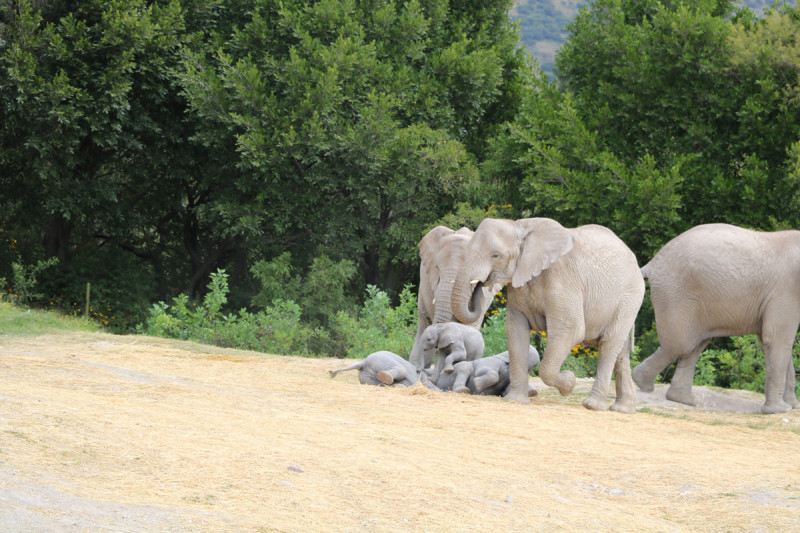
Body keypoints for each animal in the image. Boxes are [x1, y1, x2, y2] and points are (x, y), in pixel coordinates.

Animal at [450, 217, 644, 412]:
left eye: (495, 255)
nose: (481, 283)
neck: (520, 226)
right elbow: (515, 332)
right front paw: (515, 400)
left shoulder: (563, 278)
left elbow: (571, 329)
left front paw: (569, 382)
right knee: (620, 352)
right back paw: (622, 409)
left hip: (629, 298)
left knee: (609, 344)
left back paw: (592, 406)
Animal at [632, 222, 800, 414]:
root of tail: (652, 264)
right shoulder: (786, 289)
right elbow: (776, 339)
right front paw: (780, 410)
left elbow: (779, 343)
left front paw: (792, 406)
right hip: (676, 294)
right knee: (681, 345)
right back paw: (643, 383)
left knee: (695, 344)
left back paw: (681, 399)